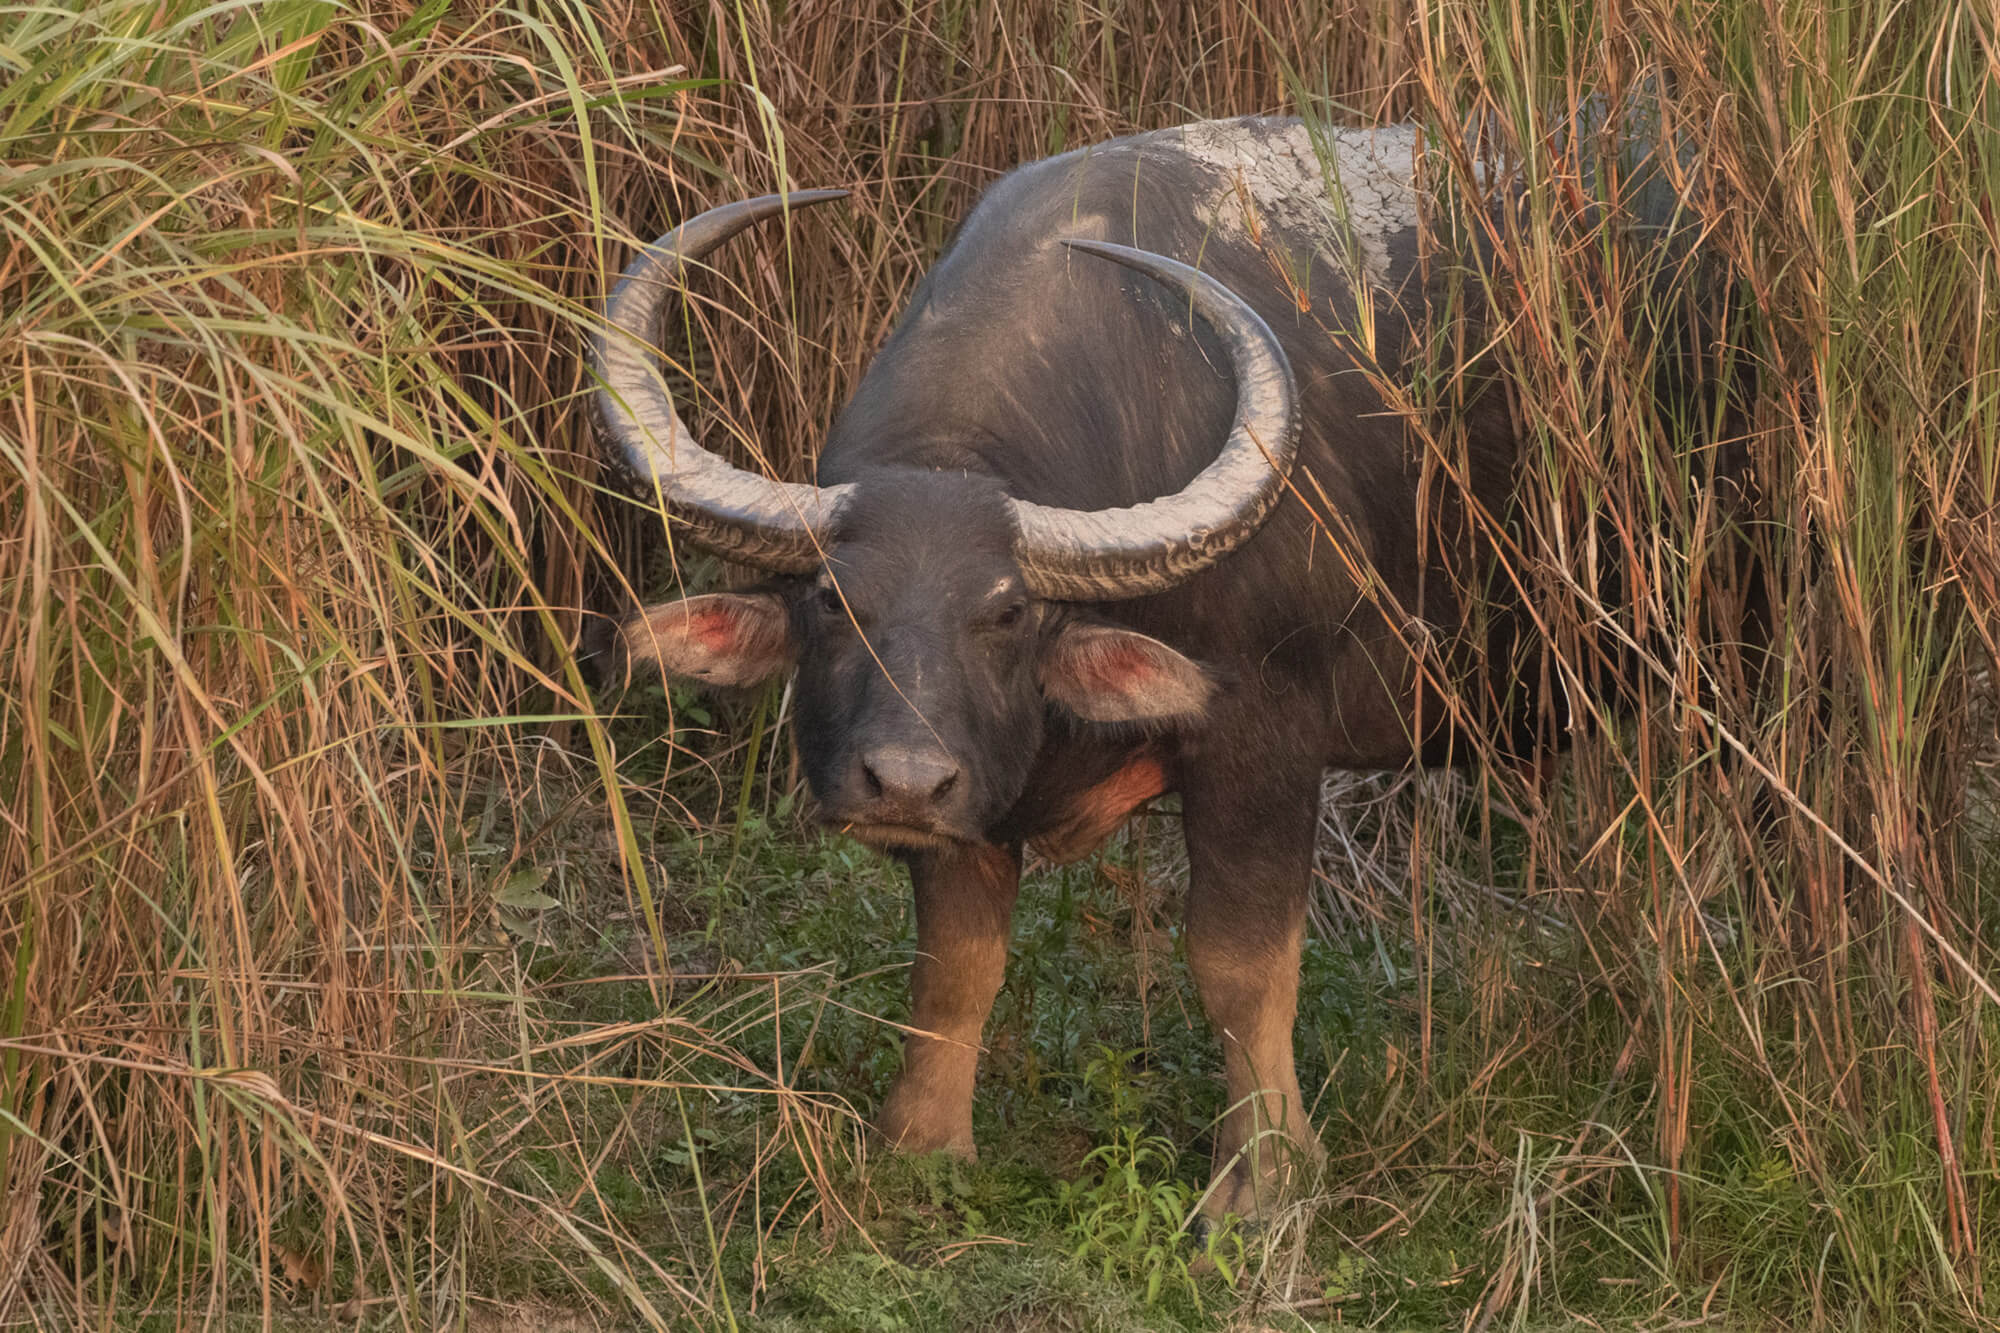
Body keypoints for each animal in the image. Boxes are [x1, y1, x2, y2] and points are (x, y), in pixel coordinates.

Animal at [592, 116, 1544, 1216]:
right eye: (833, 601)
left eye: (1010, 613)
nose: (900, 783)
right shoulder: (966, 792)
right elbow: (955, 959)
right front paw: (921, 1142)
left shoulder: (1264, 729)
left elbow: (1240, 959)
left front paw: (1263, 1177)